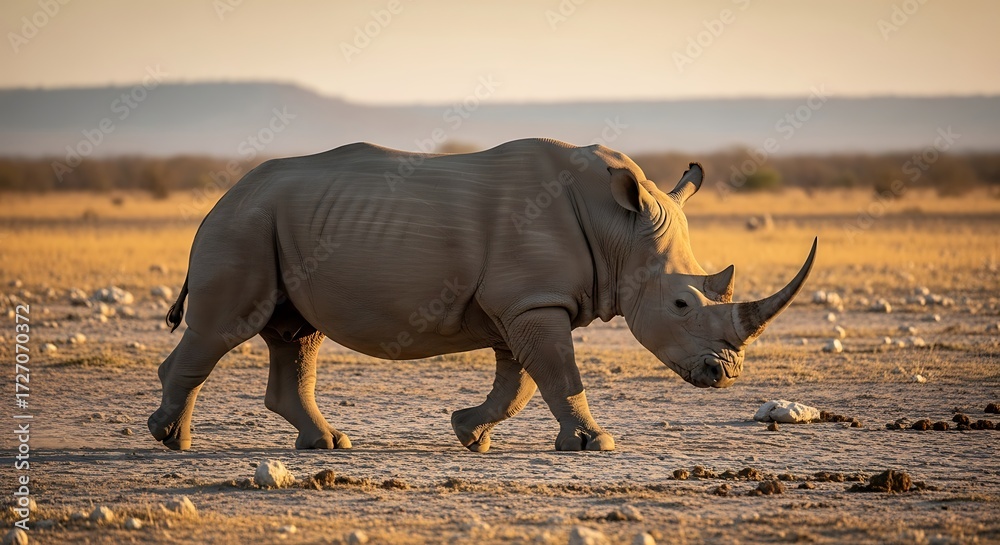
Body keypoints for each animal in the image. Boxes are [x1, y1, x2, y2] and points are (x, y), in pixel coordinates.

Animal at [149, 138, 815, 452]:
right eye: (681, 304)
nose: (725, 374)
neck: (621, 231)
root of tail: (223, 196)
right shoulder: (534, 300)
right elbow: (556, 374)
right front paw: (595, 444)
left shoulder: (522, 302)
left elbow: (519, 382)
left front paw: (469, 432)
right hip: (244, 225)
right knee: (223, 329)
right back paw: (172, 440)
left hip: (275, 224)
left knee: (295, 333)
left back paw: (327, 444)